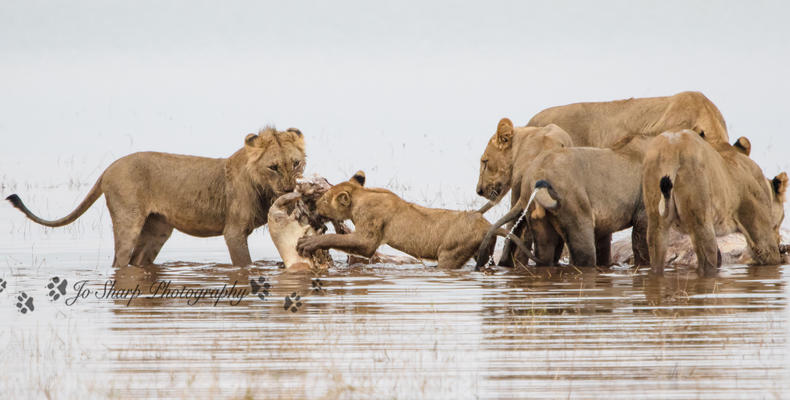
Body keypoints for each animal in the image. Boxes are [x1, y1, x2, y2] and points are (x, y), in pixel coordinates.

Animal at [4, 126, 308, 268]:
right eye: (273, 167)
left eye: (295, 163)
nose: (289, 188)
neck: (264, 187)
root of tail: (108, 169)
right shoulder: (233, 231)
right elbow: (243, 262)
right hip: (128, 220)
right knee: (119, 259)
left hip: (158, 229)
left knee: (138, 261)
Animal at [298, 171, 540, 268]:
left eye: (323, 199)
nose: (315, 206)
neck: (362, 195)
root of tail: (487, 224)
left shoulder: (369, 234)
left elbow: (338, 239)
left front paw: (308, 243)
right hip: (484, 250)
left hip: (450, 253)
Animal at [476, 134, 656, 268]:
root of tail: (536, 174)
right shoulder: (644, 207)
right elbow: (642, 239)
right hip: (574, 204)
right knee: (584, 254)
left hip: (538, 214)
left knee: (546, 251)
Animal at [648, 130, 788, 276]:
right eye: (781, 220)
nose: (779, 240)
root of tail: (673, 146)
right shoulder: (761, 235)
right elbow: (770, 255)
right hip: (701, 222)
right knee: (707, 262)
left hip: (657, 222)